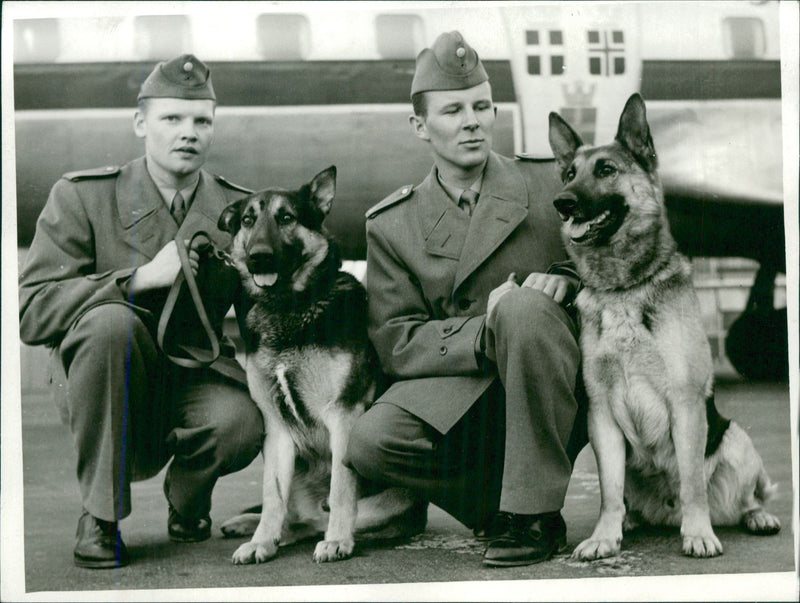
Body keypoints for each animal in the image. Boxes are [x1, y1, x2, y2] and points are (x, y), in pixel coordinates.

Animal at [216, 168, 422, 564]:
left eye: (286, 217)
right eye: (248, 220)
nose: (258, 257)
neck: (289, 309)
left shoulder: (343, 415)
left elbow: (341, 489)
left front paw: (338, 540)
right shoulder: (276, 429)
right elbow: (271, 496)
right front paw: (262, 541)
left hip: (384, 503)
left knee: (315, 521)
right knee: (292, 515)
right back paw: (253, 527)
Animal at [548, 94, 780, 560]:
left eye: (606, 170)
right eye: (569, 173)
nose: (562, 203)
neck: (622, 288)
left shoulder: (685, 403)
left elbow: (692, 482)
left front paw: (698, 534)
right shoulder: (601, 412)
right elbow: (608, 490)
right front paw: (604, 536)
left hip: (736, 439)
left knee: (746, 495)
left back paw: (754, 517)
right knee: (625, 499)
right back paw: (630, 522)